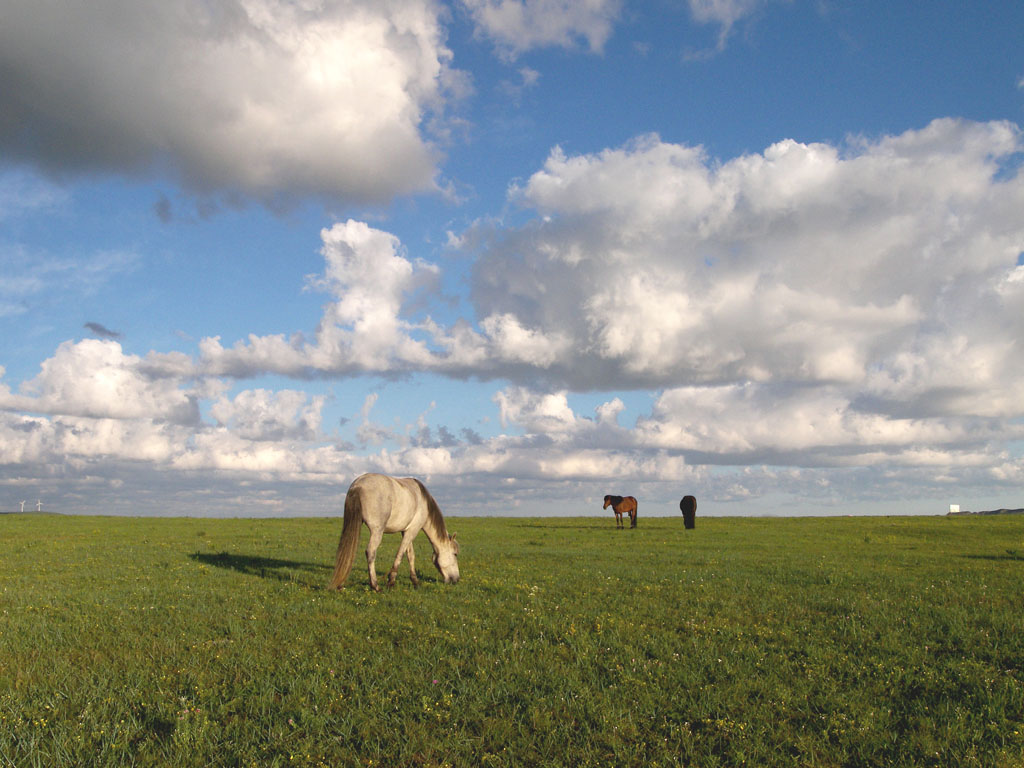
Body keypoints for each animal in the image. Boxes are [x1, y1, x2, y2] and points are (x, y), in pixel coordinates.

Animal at [327, 473, 460, 593]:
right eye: (455, 554)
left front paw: (415, 581)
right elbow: (400, 554)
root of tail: (357, 485)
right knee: (370, 552)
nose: (456, 579)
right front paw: (391, 581)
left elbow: (411, 555)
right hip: (377, 531)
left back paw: (341, 584)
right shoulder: (412, 530)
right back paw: (375, 586)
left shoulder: (405, 531)